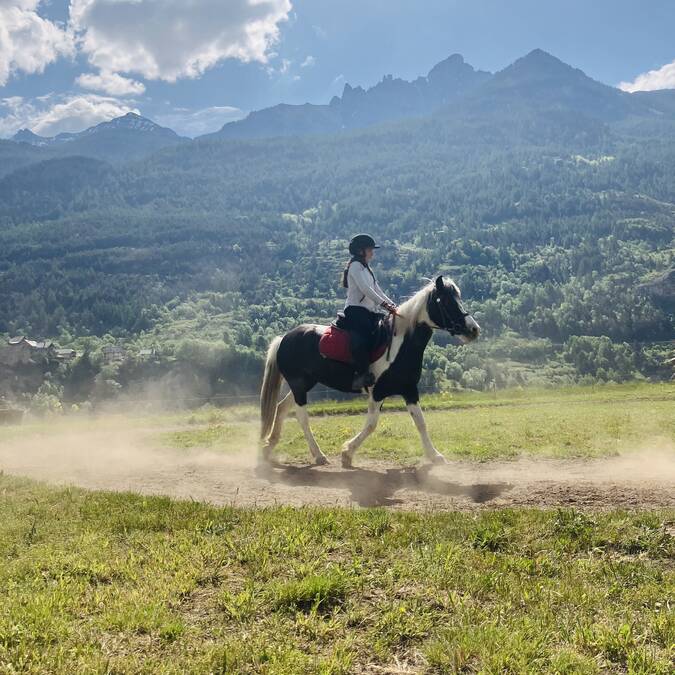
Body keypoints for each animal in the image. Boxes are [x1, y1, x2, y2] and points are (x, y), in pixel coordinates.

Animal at [258, 274, 480, 470]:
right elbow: (372, 424)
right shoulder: (377, 392)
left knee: (282, 407)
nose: (473, 330)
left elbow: (420, 422)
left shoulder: (409, 390)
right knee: (301, 416)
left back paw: (269, 447)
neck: (400, 345)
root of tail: (285, 338)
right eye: (446, 301)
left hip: (305, 383)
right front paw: (347, 453)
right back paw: (318, 455)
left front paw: (435, 456)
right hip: (299, 385)